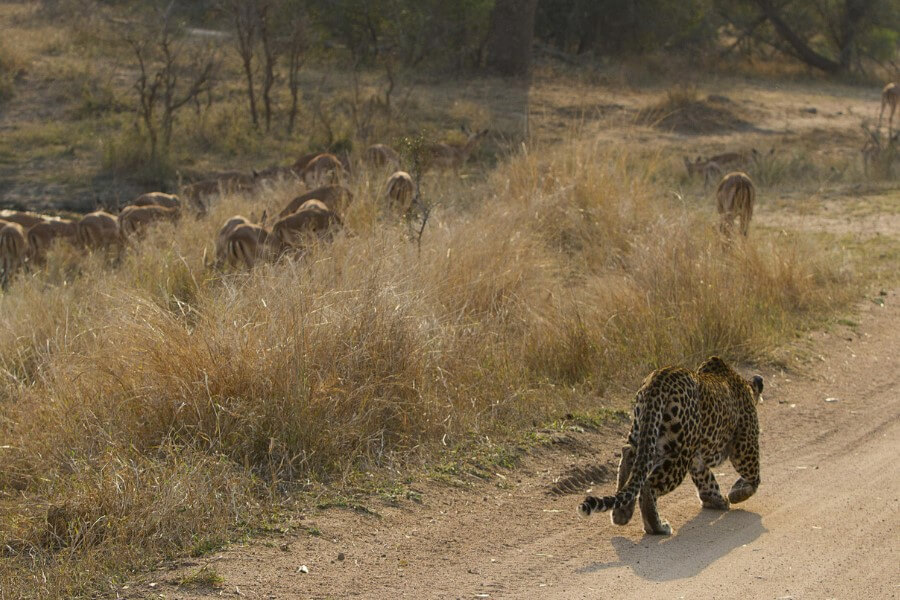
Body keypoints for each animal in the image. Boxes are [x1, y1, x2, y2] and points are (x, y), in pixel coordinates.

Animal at [577, 356, 763, 535]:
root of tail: (659, 380)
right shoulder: (744, 446)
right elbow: (754, 478)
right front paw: (736, 494)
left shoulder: (697, 457)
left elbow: (707, 480)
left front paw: (717, 500)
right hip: (679, 453)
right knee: (648, 485)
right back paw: (657, 527)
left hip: (644, 432)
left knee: (629, 455)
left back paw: (621, 513)